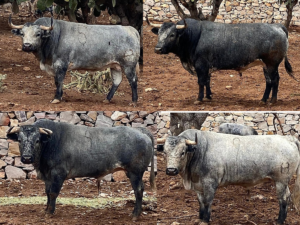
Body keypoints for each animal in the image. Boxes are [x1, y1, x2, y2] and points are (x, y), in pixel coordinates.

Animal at [6, 119, 155, 220]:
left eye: (37, 140)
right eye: (19, 140)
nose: (26, 158)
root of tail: (140, 130)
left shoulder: (58, 174)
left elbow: (53, 193)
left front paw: (50, 212)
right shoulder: (47, 176)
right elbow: (47, 193)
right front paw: (46, 209)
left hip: (135, 173)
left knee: (138, 190)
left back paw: (135, 214)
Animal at [8, 15, 140, 105]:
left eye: (38, 34)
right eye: (22, 34)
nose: (27, 46)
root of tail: (131, 29)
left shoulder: (61, 64)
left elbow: (59, 81)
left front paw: (56, 98)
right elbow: (57, 81)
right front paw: (60, 96)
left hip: (129, 65)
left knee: (133, 80)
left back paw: (134, 101)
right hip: (115, 65)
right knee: (117, 81)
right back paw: (107, 99)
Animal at [149, 18, 294, 104]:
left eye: (172, 35)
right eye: (159, 33)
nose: (157, 49)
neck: (194, 36)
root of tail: (278, 26)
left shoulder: (200, 65)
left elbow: (201, 82)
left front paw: (199, 99)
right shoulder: (206, 67)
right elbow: (207, 81)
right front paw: (208, 96)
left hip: (271, 64)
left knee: (274, 80)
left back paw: (270, 100)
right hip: (266, 65)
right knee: (271, 81)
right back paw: (266, 99)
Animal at [157, 129, 300, 224]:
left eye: (183, 152)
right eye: (165, 152)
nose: (171, 170)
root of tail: (288, 139)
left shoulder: (210, 183)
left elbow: (207, 202)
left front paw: (206, 220)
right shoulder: (198, 186)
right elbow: (201, 202)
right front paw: (200, 218)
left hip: (281, 181)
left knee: (283, 199)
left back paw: (279, 220)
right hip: (283, 182)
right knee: (287, 196)